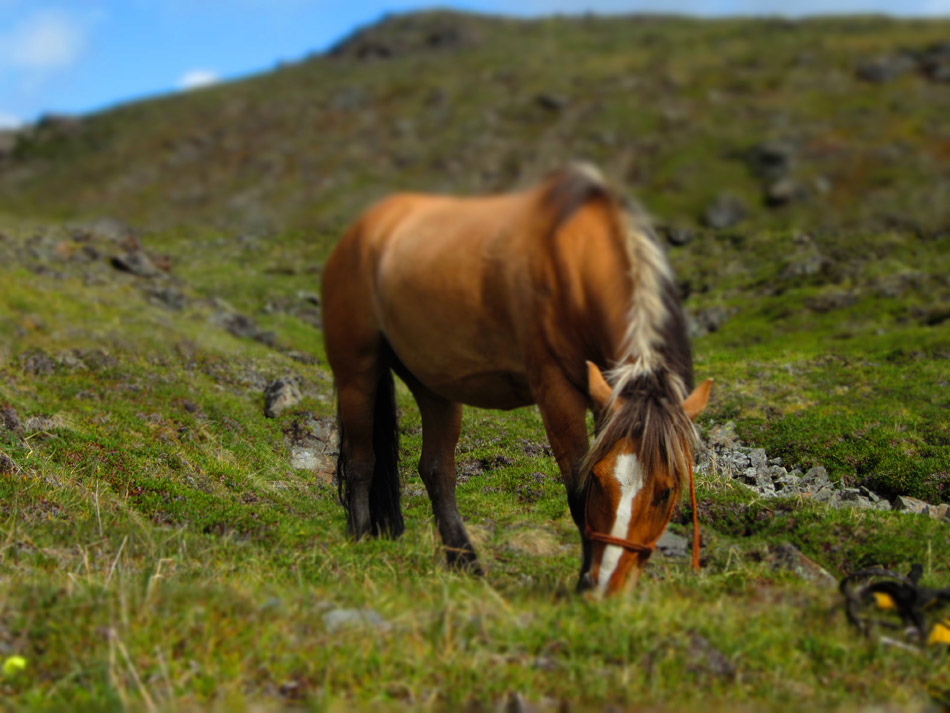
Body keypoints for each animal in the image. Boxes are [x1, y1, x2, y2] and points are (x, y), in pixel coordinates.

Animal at [324, 163, 712, 596]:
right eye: (600, 479)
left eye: (666, 491)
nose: (604, 587)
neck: (573, 266)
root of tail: (363, 230)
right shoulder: (557, 393)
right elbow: (577, 493)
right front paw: (581, 580)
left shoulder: (606, 399)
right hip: (357, 372)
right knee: (362, 459)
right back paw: (361, 539)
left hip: (434, 386)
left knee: (437, 471)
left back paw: (466, 562)